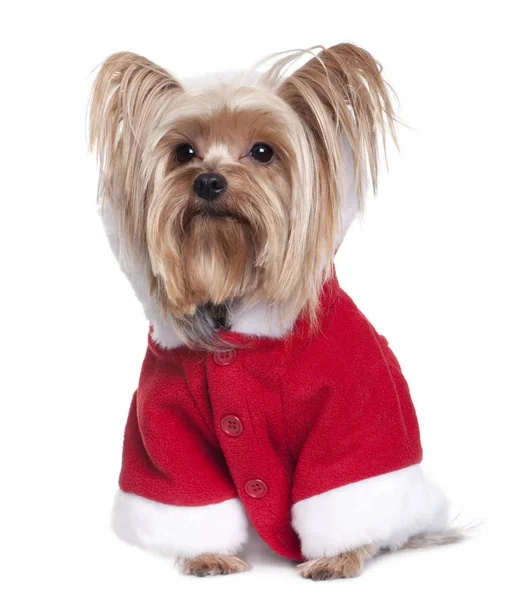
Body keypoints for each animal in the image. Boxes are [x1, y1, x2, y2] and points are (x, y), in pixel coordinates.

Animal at [91, 44, 462, 580]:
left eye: (264, 152)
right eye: (184, 152)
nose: (208, 181)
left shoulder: (352, 408)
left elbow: (342, 478)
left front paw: (338, 556)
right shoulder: (163, 423)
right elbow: (185, 492)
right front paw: (208, 554)